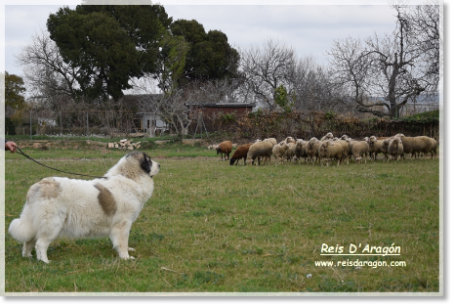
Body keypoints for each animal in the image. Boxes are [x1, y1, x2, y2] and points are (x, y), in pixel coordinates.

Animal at [7, 151, 161, 262]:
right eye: (149, 161)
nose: (159, 165)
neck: (129, 177)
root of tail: (40, 184)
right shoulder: (122, 223)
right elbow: (123, 241)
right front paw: (126, 257)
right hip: (52, 223)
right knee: (40, 244)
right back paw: (44, 261)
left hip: (35, 221)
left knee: (29, 241)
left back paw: (28, 256)